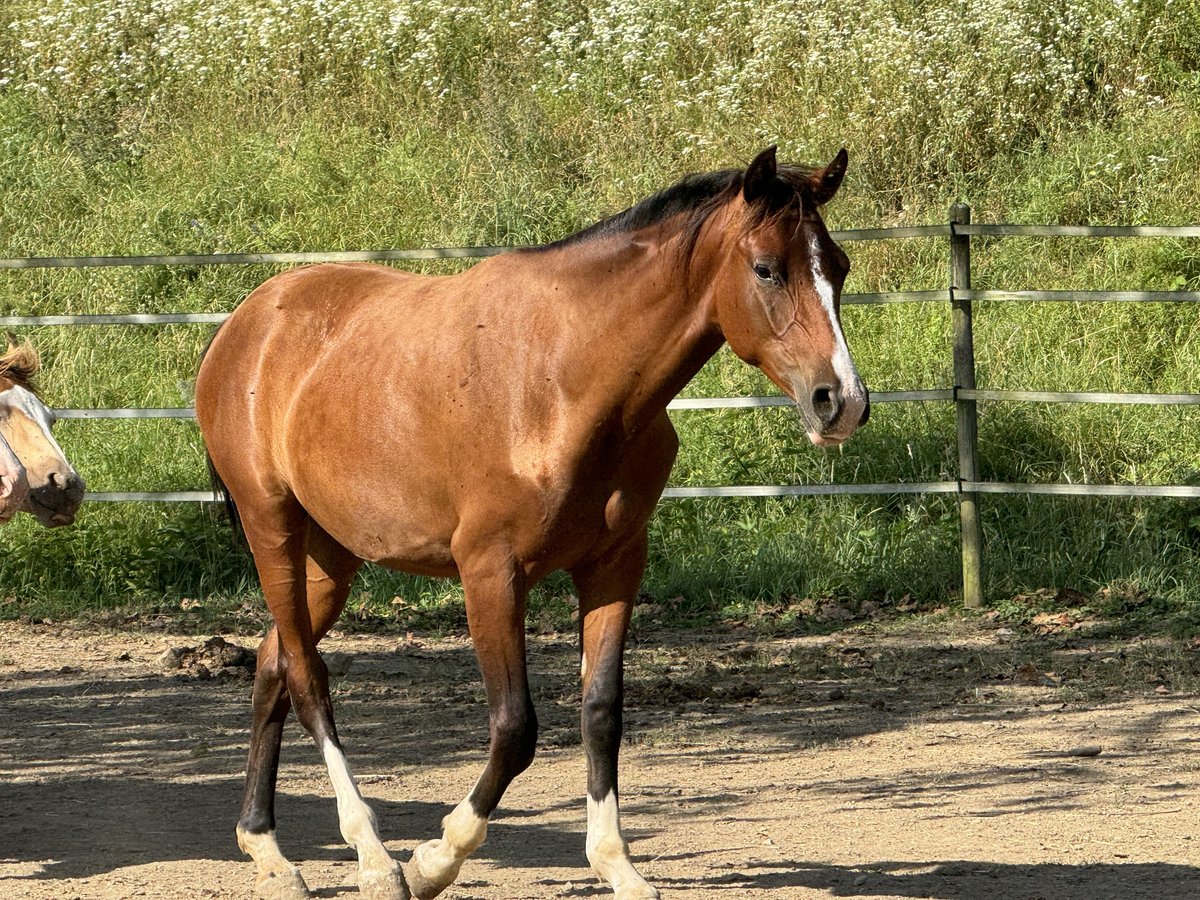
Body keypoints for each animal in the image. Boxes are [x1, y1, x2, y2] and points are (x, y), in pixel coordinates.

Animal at [199, 144, 873, 897]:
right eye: (766, 268)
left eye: (838, 265)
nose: (841, 401)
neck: (565, 380)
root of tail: (249, 322)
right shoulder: (490, 573)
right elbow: (515, 727)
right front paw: (436, 859)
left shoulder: (613, 566)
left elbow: (601, 712)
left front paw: (618, 865)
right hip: (274, 530)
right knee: (307, 677)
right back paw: (374, 858)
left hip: (331, 558)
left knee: (272, 663)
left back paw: (267, 849)